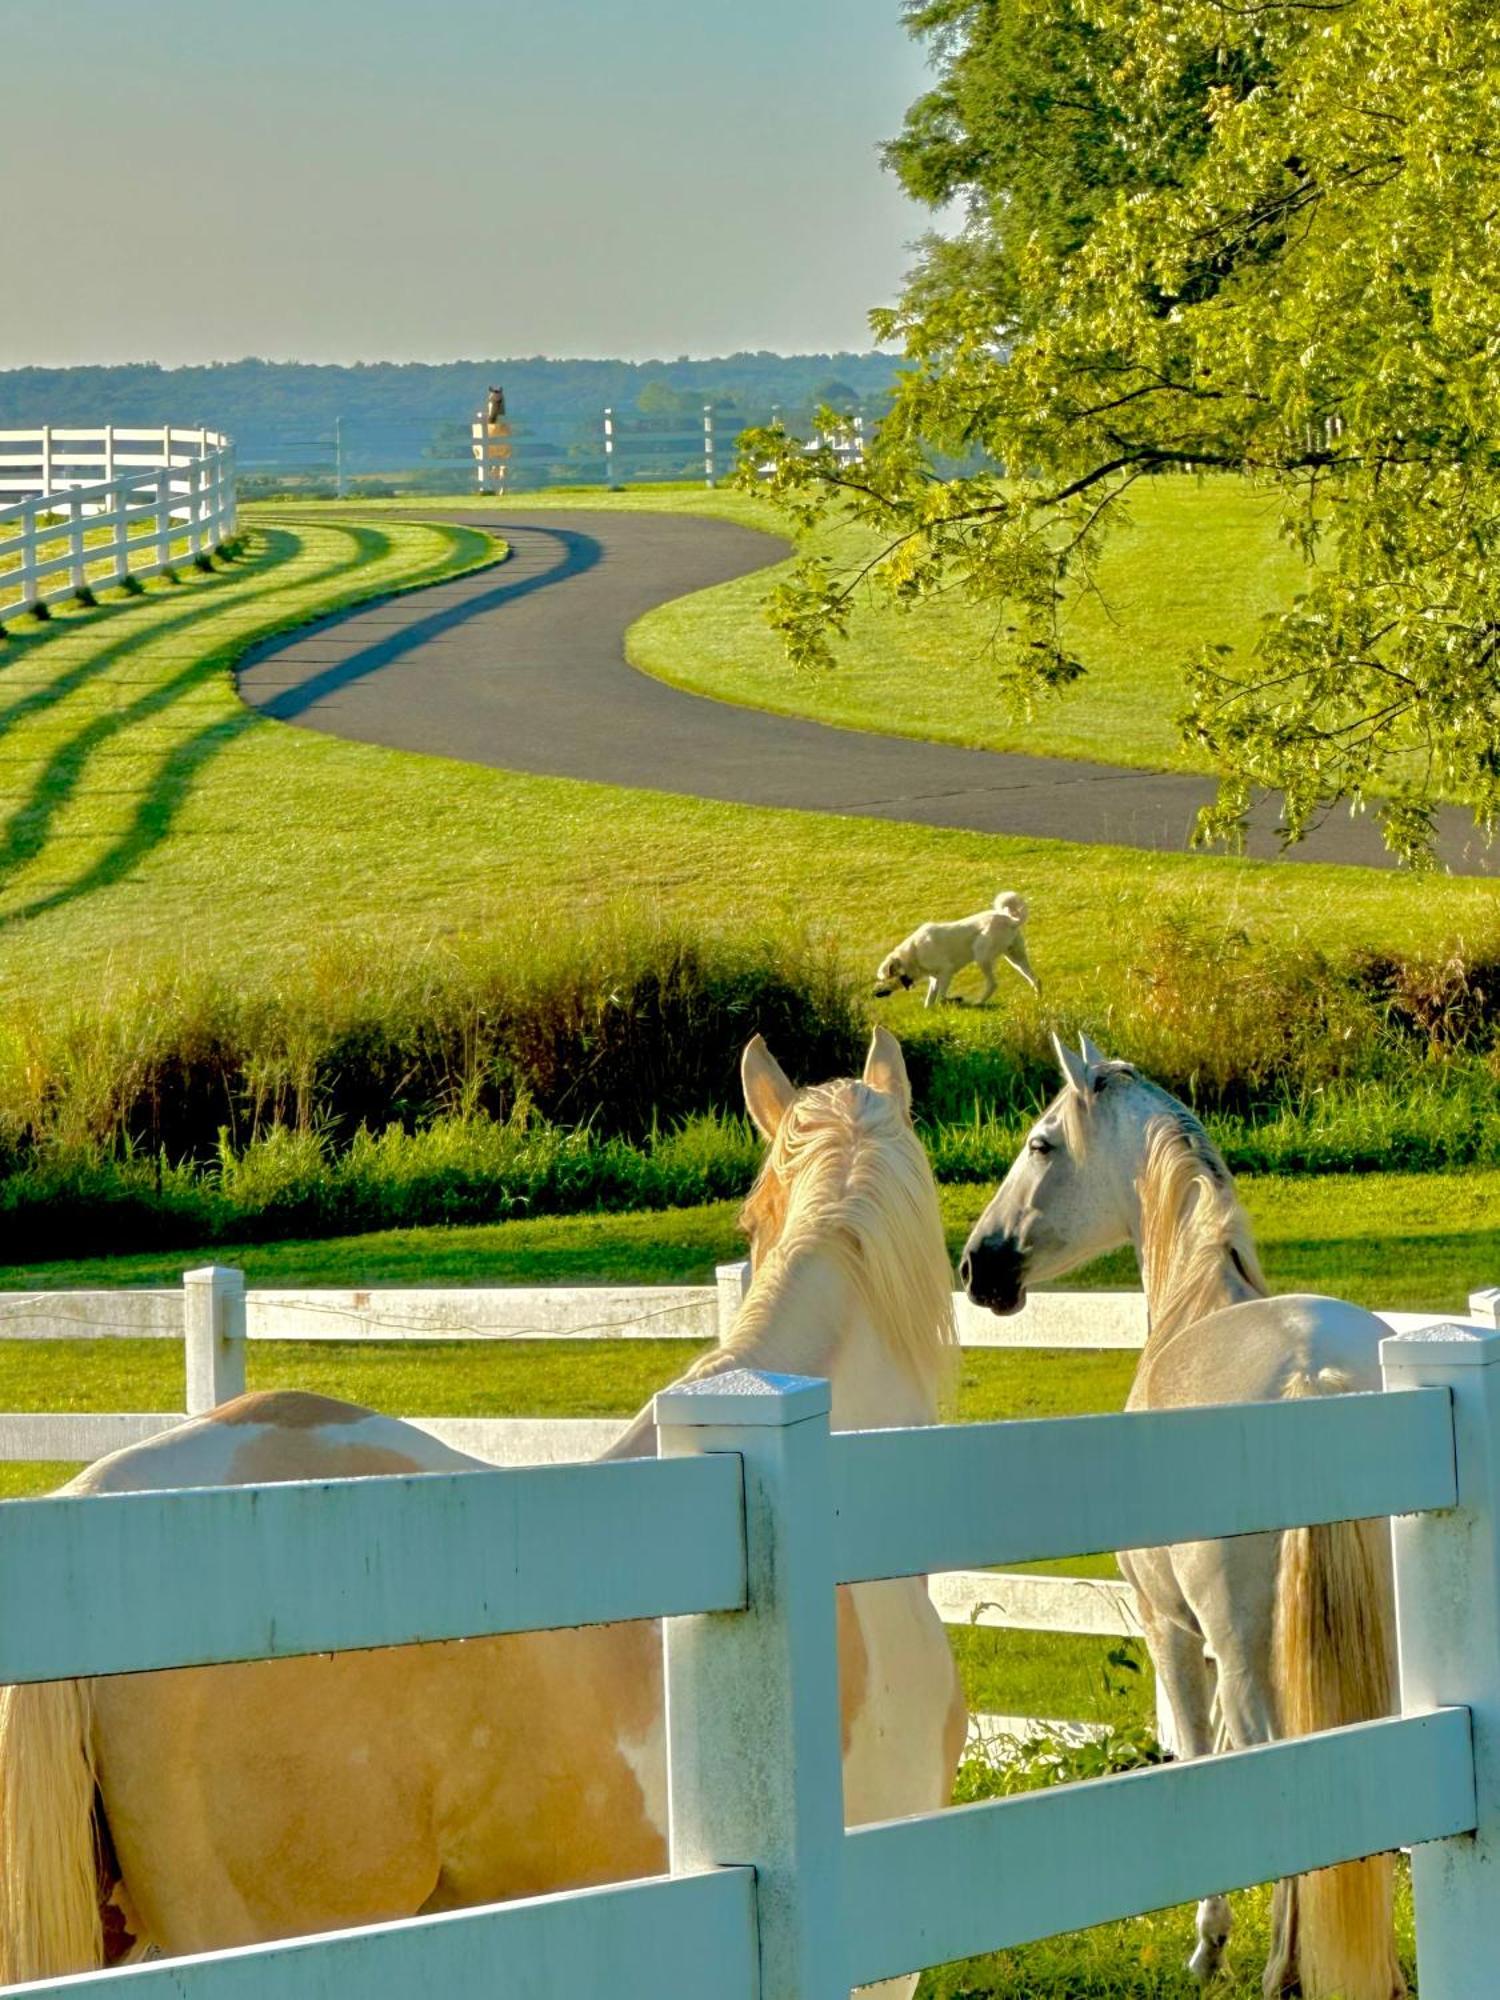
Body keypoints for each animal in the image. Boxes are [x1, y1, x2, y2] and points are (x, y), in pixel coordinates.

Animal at [964, 1040, 1408, 2000]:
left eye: (1041, 1143)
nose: (979, 1266)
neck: (1197, 1303)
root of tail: (1318, 1380)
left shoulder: (1171, 1631)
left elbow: (1202, 1760)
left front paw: (1210, 1941)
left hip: (1242, 1654)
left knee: (1273, 1757)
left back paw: (1285, 1964)